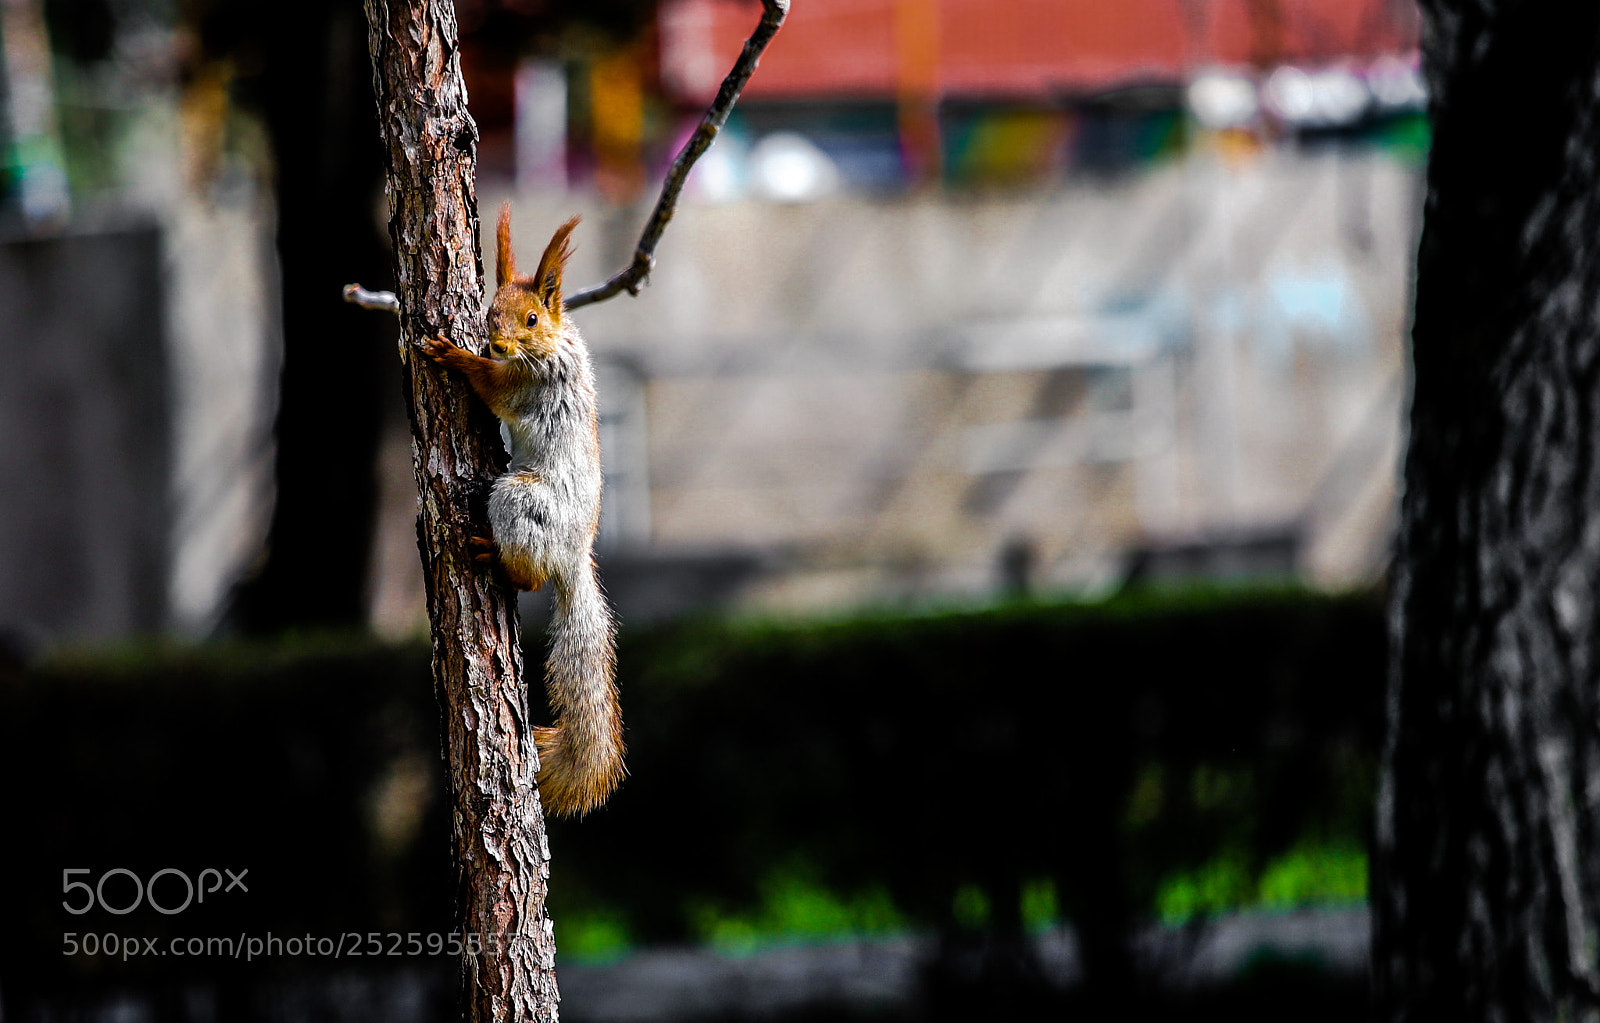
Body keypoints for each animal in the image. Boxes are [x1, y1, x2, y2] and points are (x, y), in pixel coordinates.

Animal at [421, 204, 623, 817]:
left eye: (532, 318)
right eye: (491, 311)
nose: (498, 344)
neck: (554, 344)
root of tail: (573, 554)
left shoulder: (529, 382)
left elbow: (493, 387)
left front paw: (454, 355)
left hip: (521, 500)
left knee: (531, 578)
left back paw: (494, 555)